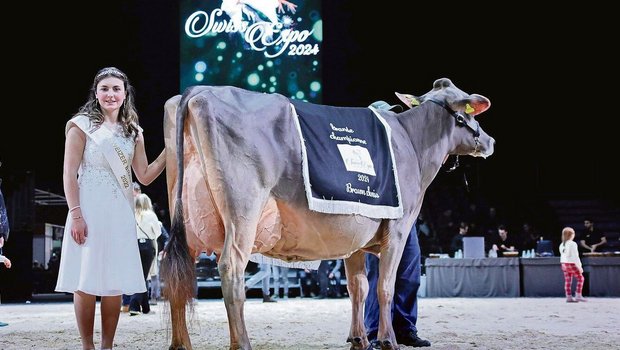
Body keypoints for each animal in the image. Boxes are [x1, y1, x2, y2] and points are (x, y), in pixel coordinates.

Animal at [160, 79, 494, 350]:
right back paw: (241, 343)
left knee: (176, 270)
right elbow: (385, 287)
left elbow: (358, 288)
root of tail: (199, 91)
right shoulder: (397, 231)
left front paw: (360, 339)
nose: (490, 141)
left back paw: (180, 344)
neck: (412, 143)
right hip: (242, 212)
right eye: (472, 114)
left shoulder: (355, 237)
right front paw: (388, 340)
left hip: (187, 215)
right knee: (231, 268)